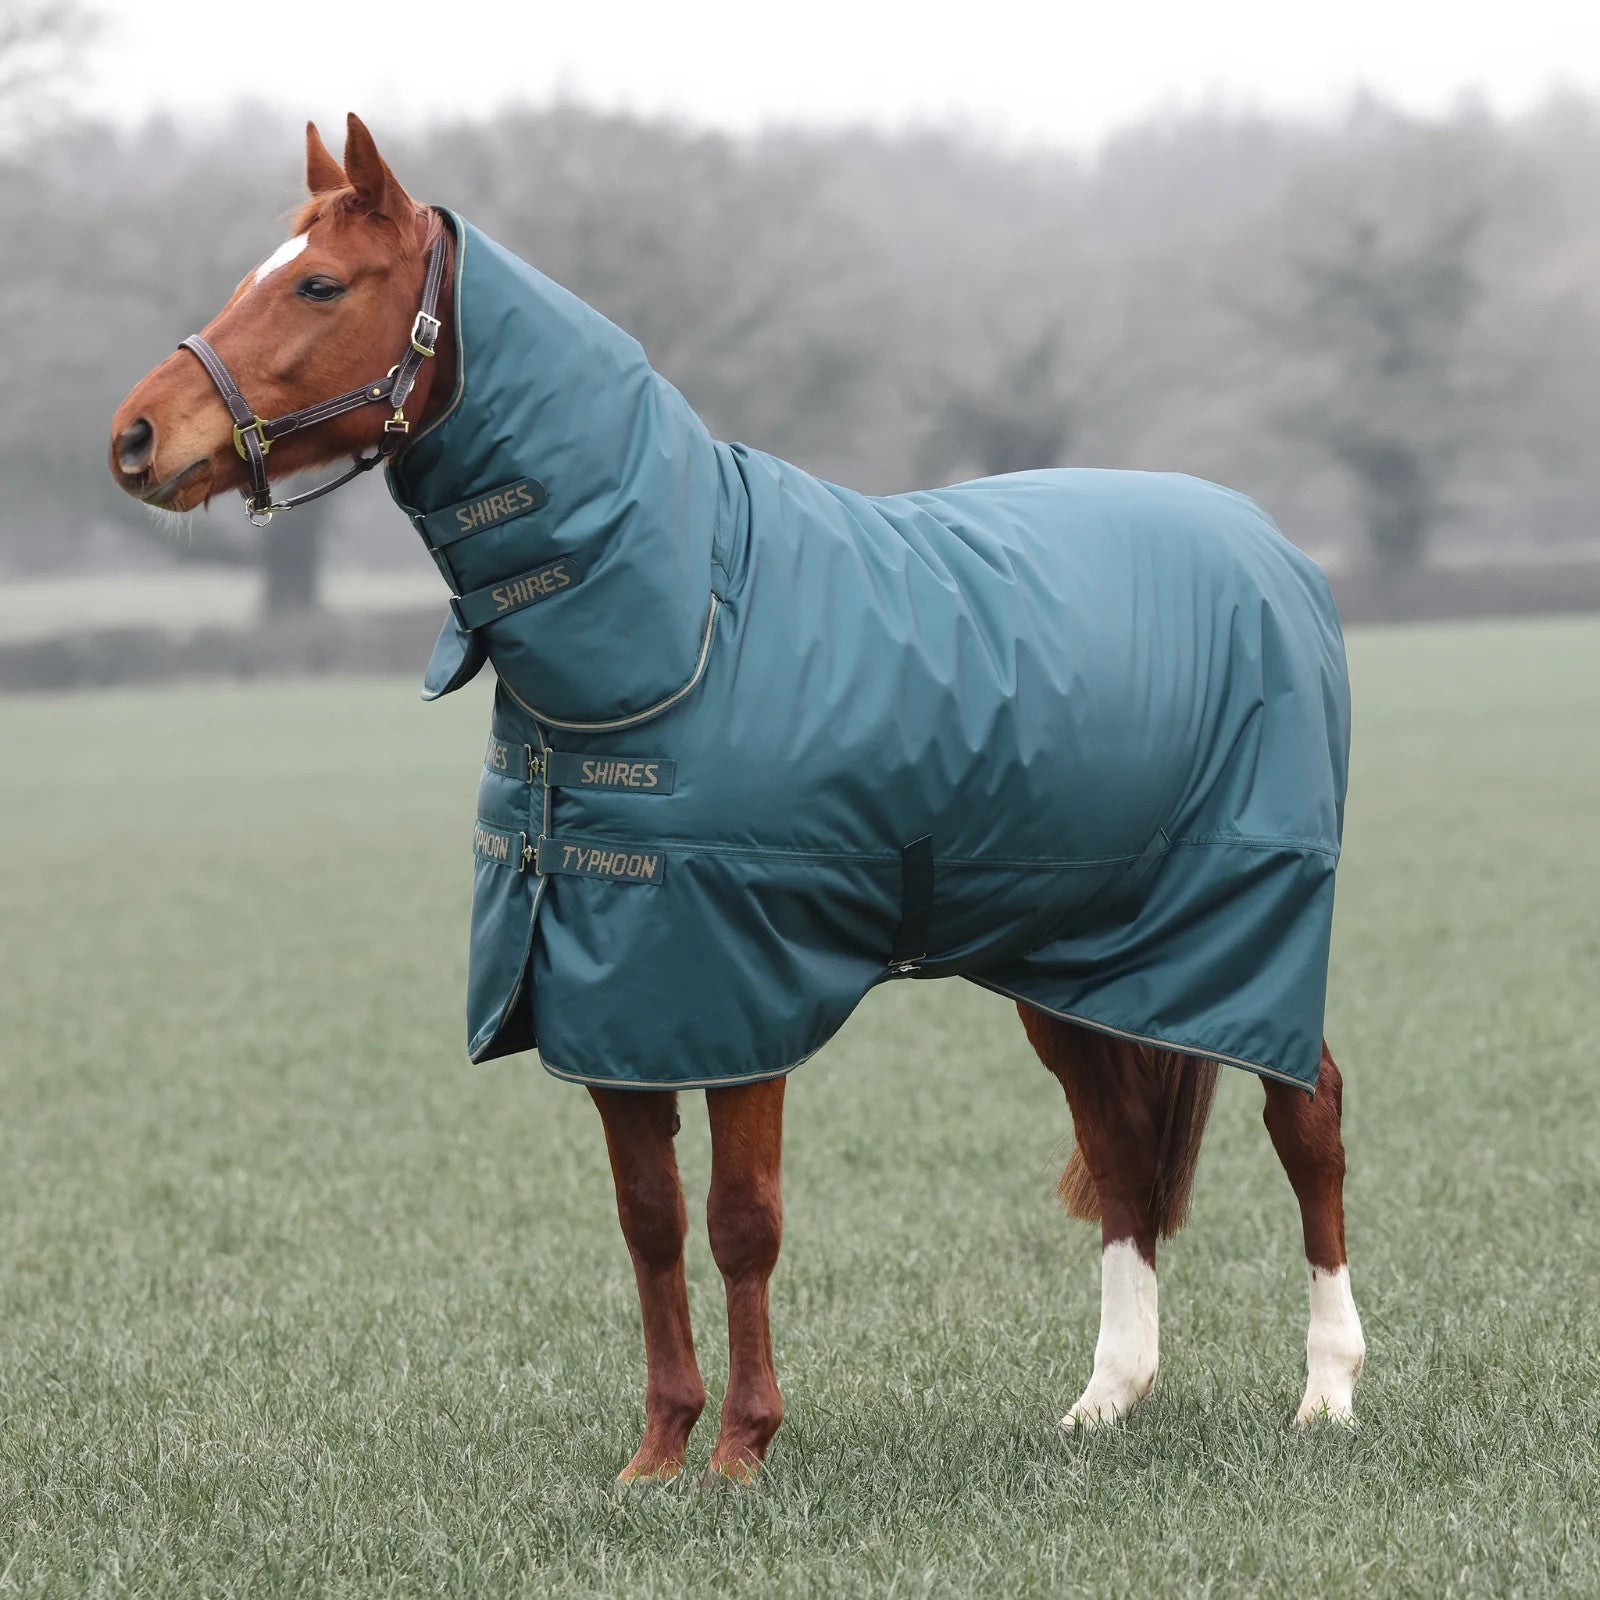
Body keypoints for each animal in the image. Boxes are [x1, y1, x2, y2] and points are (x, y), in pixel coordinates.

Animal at [109, 115, 1365, 1482]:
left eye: (321, 286)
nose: (135, 436)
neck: (684, 621)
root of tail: (1271, 549)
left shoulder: (738, 989)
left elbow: (740, 1220)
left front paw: (743, 1450)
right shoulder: (614, 1005)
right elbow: (650, 1223)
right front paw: (658, 1453)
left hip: (1245, 927)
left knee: (1308, 1116)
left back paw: (1327, 1391)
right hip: (1074, 961)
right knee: (1123, 1154)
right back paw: (1106, 1398)